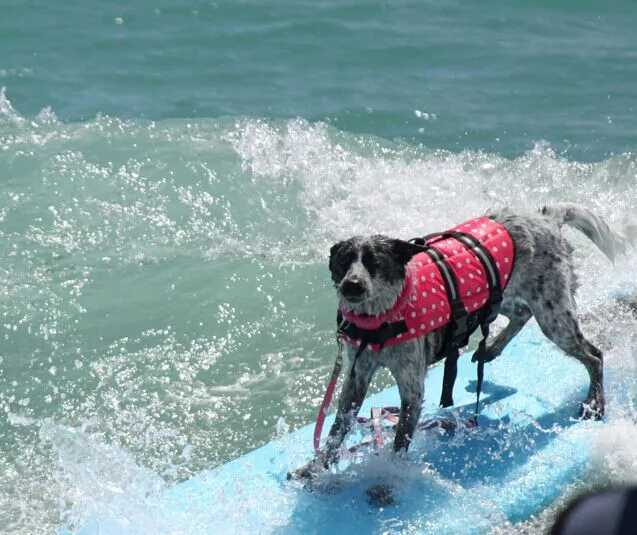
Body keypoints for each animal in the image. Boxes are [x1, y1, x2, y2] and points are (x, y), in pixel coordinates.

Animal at [290, 205, 632, 482]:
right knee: (520, 314)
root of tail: (545, 217)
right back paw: (490, 349)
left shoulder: (412, 388)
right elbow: (336, 430)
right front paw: (315, 469)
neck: (382, 320)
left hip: (554, 316)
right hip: (501, 296)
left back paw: (595, 401)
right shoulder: (356, 378)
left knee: (594, 355)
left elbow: (399, 443)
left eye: (375, 262)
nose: (352, 285)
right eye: (344, 261)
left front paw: (387, 482)